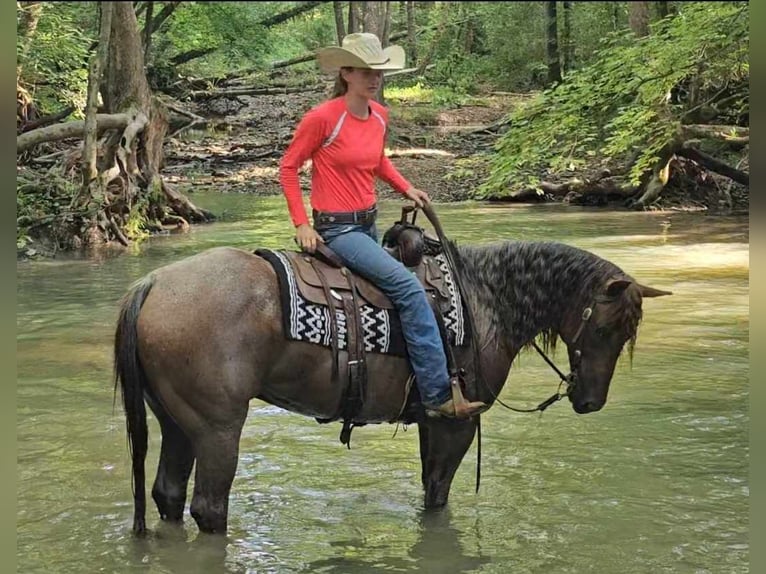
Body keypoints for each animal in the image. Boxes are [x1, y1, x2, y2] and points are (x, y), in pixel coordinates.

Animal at [113, 238, 671, 536]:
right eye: (606, 328)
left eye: (628, 332)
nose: (590, 401)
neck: (485, 301)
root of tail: (153, 283)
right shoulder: (457, 422)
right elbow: (438, 493)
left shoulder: (431, 420)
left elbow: (429, 489)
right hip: (218, 429)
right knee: (208, 507)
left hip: (177, 423)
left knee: (167, 493)